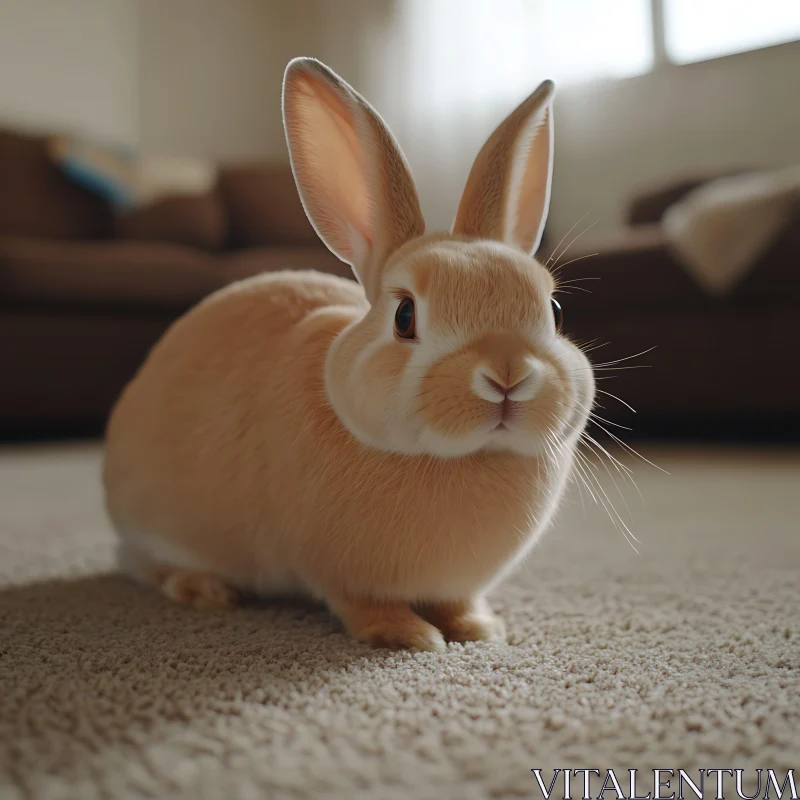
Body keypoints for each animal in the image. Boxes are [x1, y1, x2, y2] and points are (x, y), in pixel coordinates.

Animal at [103, 59, 592, 652]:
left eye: (555, 310)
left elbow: (457, 602)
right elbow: (365, 605)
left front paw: (480, 629)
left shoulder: (454, 584)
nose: (507, 375)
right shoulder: (341, 576)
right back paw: (205, 590)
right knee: (144, 564)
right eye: (405, 316)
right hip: (157, 525)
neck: (462, 458)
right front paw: (410, 637)